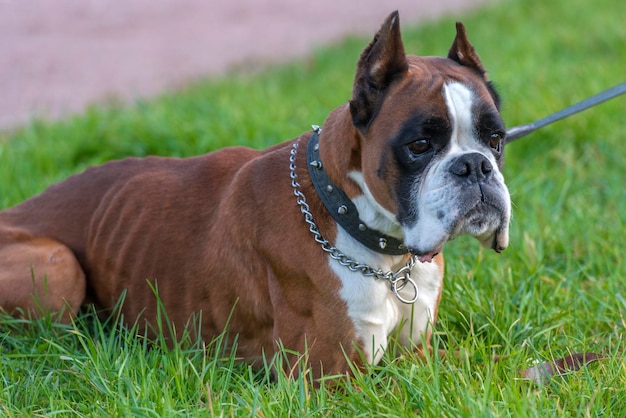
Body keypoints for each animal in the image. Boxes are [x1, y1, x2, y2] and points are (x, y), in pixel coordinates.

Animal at [0, 12, 508, 378]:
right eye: (419, 145)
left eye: (495, 139)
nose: (475, 166)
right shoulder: (334, 379)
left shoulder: (419, 356)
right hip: (59, 267)